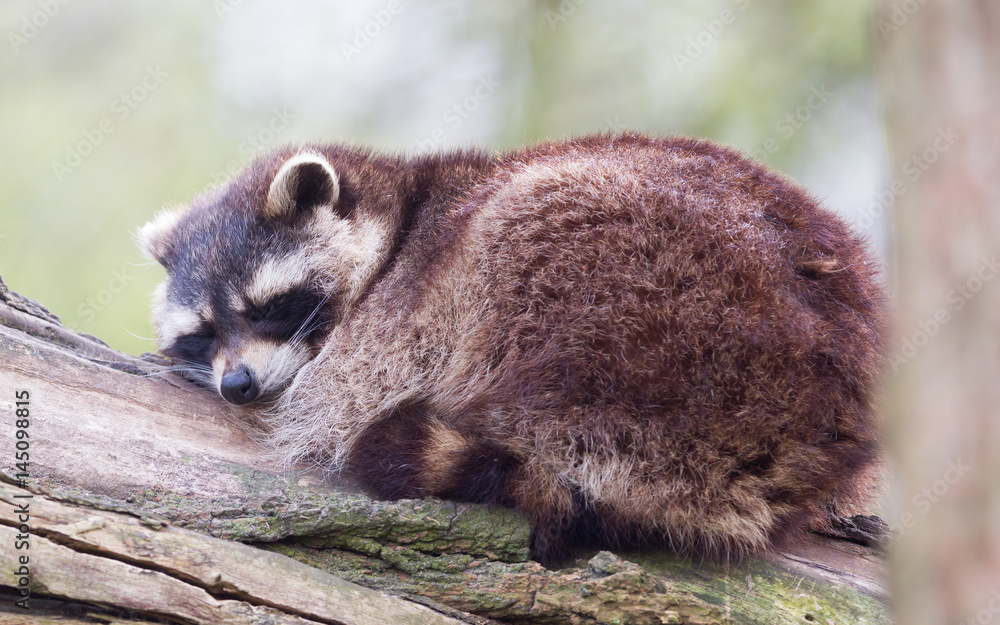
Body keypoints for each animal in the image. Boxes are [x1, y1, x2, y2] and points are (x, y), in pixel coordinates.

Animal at [139, 134, 884, 564]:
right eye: (203, 333)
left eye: (270, 306)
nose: (237, 384)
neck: (399, 209)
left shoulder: (402, 313)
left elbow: (337, 399)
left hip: (650, 305)